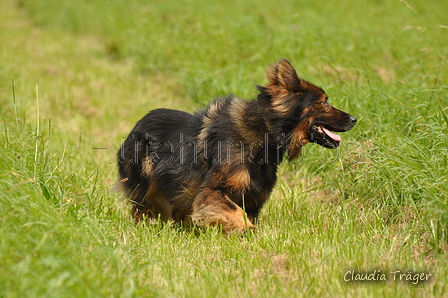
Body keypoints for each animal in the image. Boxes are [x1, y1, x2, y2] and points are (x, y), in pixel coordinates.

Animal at [117, 57, 356, 230]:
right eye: (325, 102)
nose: (354, 119)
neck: (264, 131)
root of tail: (139, 122)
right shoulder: (211, 191)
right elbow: (235, 212)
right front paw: (248, 232)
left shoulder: (253, 197)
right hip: (145, 182)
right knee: (141, 207)